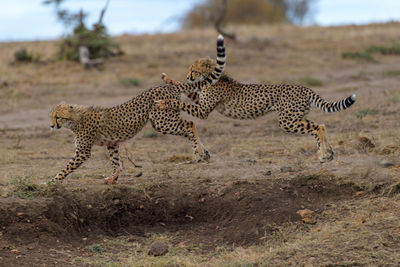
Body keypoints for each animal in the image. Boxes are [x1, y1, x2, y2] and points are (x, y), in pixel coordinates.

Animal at [48, 35, 227, 186]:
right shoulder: (112, 143)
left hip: (162, 122)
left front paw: (52, 181)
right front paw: (113, 178)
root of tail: (166, 86)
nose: (51, 126)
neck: (76, 119)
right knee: (189, 126)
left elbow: (66, 167)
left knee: (190, 124)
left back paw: (199, 152)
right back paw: (204, 153)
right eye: (51, 116)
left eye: (58, 117)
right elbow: (116, 162)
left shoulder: (82, 152)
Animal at [156, 56, 356, 163]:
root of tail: (303, 87)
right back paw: (327, 153)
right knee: (320, 126)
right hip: (296, 118)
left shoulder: (202, 110)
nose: (188, 75)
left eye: (193, 70)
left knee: (318, 127)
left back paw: (324, 154)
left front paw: (164, 102)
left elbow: (181, 102)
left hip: (287, 121)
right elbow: (184, 90)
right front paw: (167, 78)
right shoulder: (200, 102)